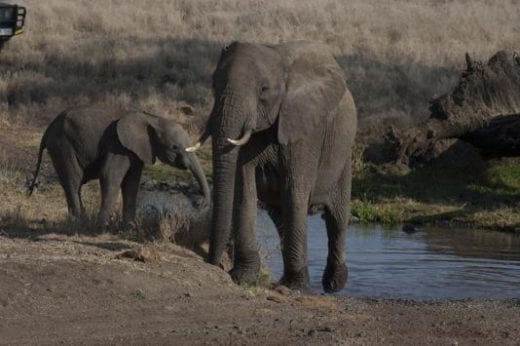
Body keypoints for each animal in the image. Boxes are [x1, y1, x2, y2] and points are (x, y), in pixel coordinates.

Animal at [28, 107, 210, 224]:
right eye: (174, 147)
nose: (201, 205)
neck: (152, 119)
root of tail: (48, 129)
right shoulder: (118, 146)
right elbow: (110, 175)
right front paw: (102, 226)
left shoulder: (136, 151)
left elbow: (132, 183)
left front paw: (129, 226)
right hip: (62, 145)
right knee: (73, 180)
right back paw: (80, 221)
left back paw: (80, 219)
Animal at [188, 42, 358, 294]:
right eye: (214, 84)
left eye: (263, 90)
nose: (214, 264)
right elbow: (244, 191)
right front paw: (243, 277)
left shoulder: (304, 132)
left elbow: (295, 192)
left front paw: (296, 287)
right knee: (280, 217)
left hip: (343, 155)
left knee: (336, 217)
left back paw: (334, 284)